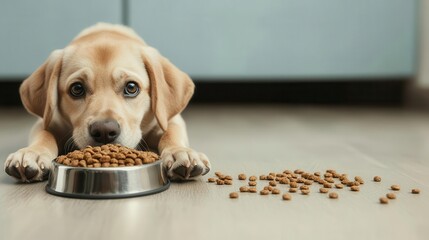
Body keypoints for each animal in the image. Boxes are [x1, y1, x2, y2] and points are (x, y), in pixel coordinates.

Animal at [2, 23, 211, 183]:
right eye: (77, 89)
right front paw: (32, 153)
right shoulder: (47, 120)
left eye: (131, 87)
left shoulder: (169, 118)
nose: (104, 131)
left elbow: (171, 133)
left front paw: (181, 152)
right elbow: (44, 135)